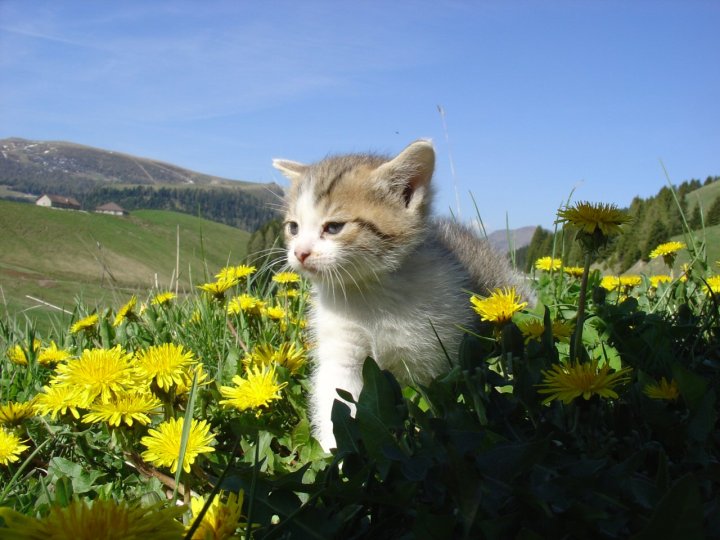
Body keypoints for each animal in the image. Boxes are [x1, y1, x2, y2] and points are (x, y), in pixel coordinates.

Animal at [276, 140, 536, 452]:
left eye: (334, 227)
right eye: (293, 227)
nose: (300, 253)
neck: (367, 291)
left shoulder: (431, 355)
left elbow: (432, 399)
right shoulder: (340, 351)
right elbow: (336, 400)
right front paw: (337, 456)